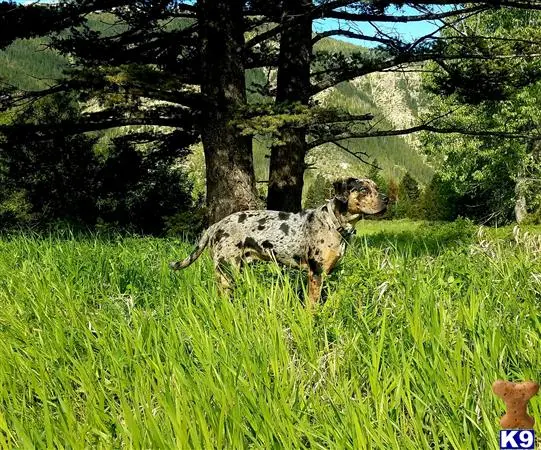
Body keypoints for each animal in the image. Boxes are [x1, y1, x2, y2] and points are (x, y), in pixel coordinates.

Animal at [171, 178, 386, 308]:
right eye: (363, 189)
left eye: (377, 187)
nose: (387, 198)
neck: (333, 223)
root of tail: (216, 225)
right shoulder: (315, 273)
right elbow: (312, 304)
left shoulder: (327, 272)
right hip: (227, 271)